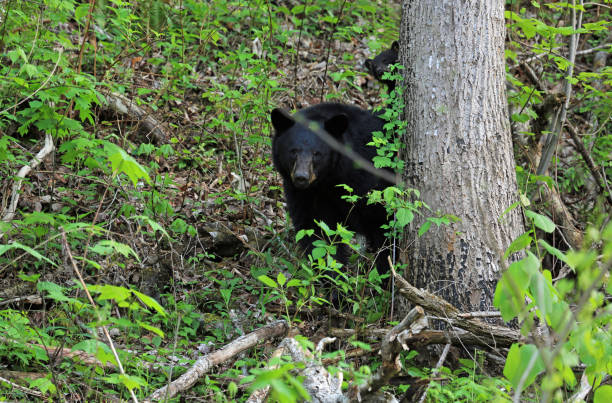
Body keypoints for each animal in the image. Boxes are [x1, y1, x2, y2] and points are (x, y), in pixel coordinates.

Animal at [270, 102, 394, 276]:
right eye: (293, 151)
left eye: (317, 153)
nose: (301, 177)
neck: (327, 182)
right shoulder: (305, 196)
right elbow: (318, 235)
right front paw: (331, 277)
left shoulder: (373, 187)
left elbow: (384, 230)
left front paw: (385, 276)